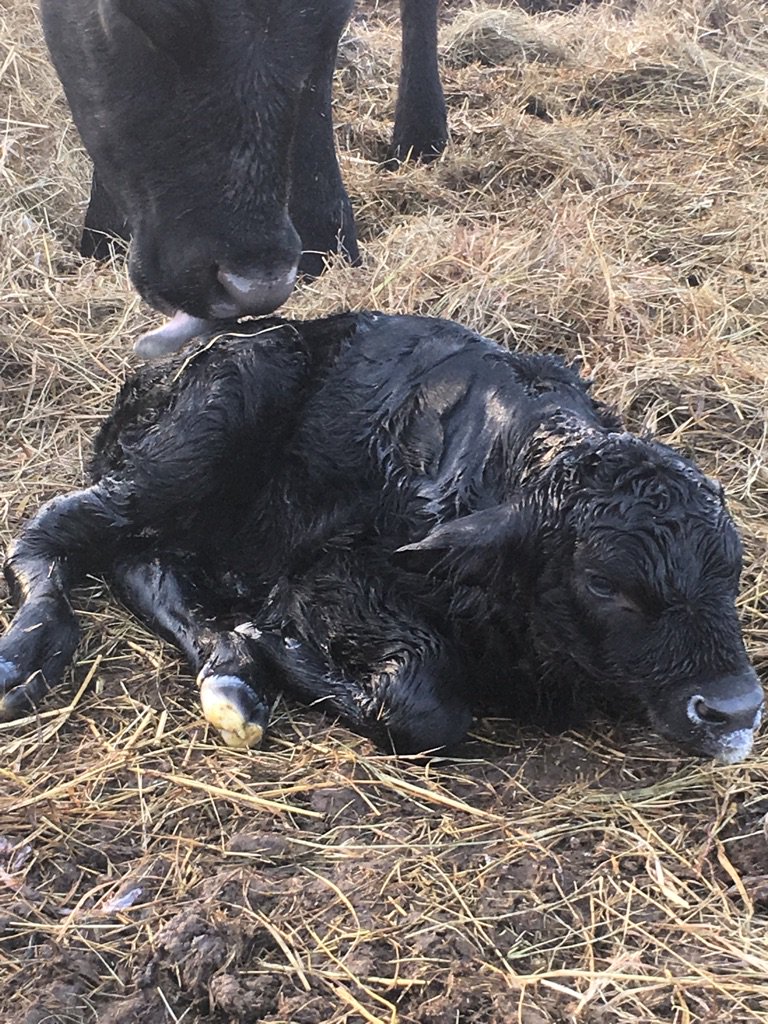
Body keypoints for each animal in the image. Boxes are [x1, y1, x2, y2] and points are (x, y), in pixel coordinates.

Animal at [0, 312, 763, 763]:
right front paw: (273, 642)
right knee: (53, 528)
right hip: (198, 437)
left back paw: (231, 678)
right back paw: (25, 652)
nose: (735, 708)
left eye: (731, 570)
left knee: (141, 560)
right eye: (603, 582)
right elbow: (427, 706)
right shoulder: (325, 573)